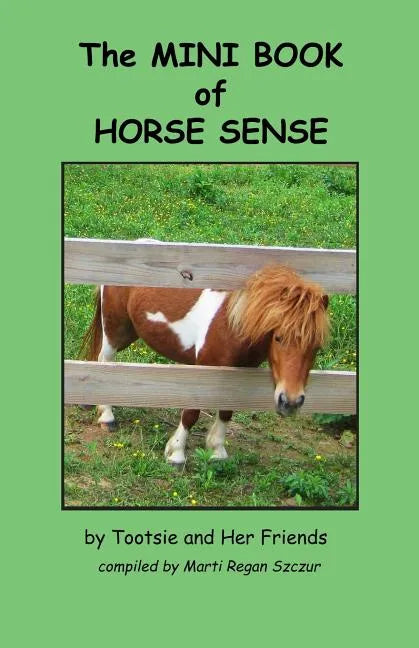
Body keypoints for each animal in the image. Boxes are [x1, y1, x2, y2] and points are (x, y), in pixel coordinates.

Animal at [79, 264, 329, 465]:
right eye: (278, 338)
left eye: (317, 346)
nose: (291, 402)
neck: (231, 326)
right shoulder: (201, 373)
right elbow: (191, 413)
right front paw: (176, 454)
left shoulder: (237, 375)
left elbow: (226, 410)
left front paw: (217, 451)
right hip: (116, 332)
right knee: (104, 363)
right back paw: (107, 417)